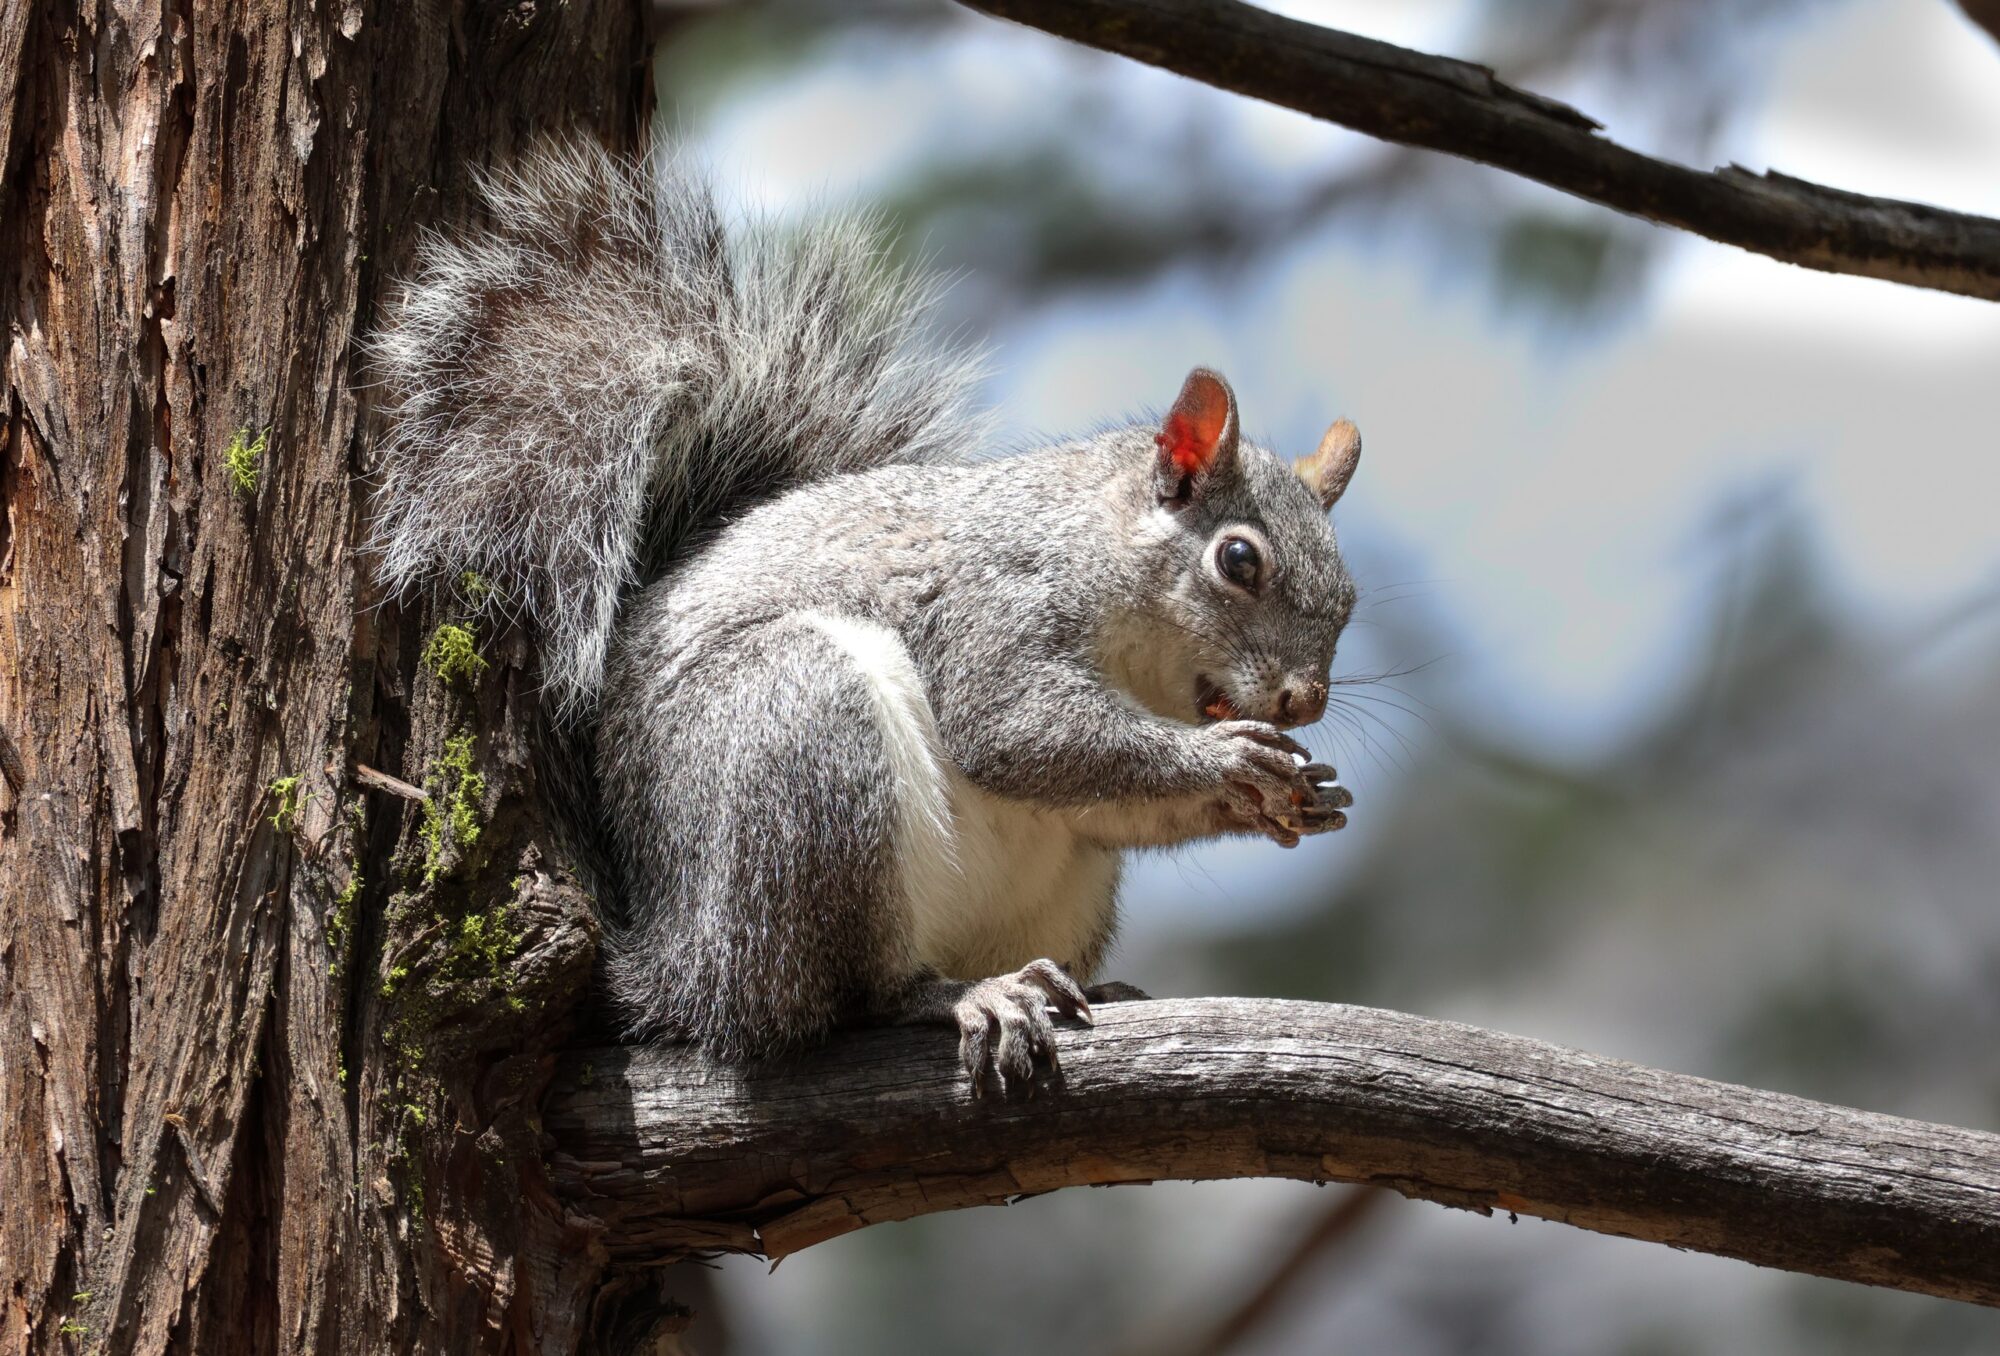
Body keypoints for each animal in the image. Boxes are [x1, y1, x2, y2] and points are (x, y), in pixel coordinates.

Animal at [369, 141, 1362, 1093]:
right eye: (1239, 561)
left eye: (1349, 599)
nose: (1305, 701)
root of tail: (680, 962)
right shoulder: (993, 606)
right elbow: (1017, 731)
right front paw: (1227, 761)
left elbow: (1109, 805)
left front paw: (1294, 792)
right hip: (801, 743)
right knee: (846, 999)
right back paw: (962, 995)